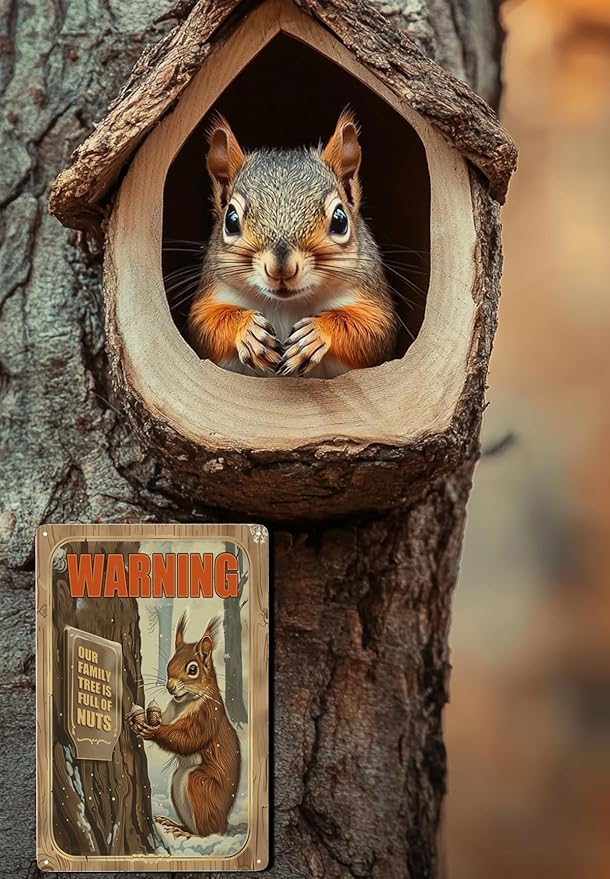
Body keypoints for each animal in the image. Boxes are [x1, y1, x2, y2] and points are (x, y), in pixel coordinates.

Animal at [128, 614, 240, 838]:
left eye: (193, 669)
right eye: (170, 662)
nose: (170, 687)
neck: (185, 701)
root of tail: (223, 825)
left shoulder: (207, 716)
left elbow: (189, 738)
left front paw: (153, 731)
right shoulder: (170, 713)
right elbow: (165, 720)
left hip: (199, 785)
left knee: (207, 832)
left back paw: (190, 834)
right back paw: (174, 824)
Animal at [187, 111, 397, 378]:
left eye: (340, 220)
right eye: (231, 220)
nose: (281, 269)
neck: (287, 305)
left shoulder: (370, 297)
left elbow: (373, 332)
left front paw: (315, 334)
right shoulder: (213, 292)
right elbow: (205, 325)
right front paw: (250, 332)